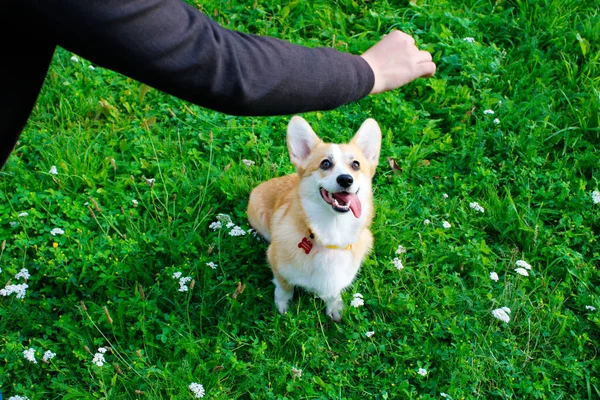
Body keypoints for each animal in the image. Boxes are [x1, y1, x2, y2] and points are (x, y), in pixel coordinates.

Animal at [246, 116, 382, 322]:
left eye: (356, 165)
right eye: (325, 164)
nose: (346, 179)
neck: (332, 232)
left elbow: (333, 293)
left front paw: (334, 307)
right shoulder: (277, 265)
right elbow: (284, 287)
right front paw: (282, 305)